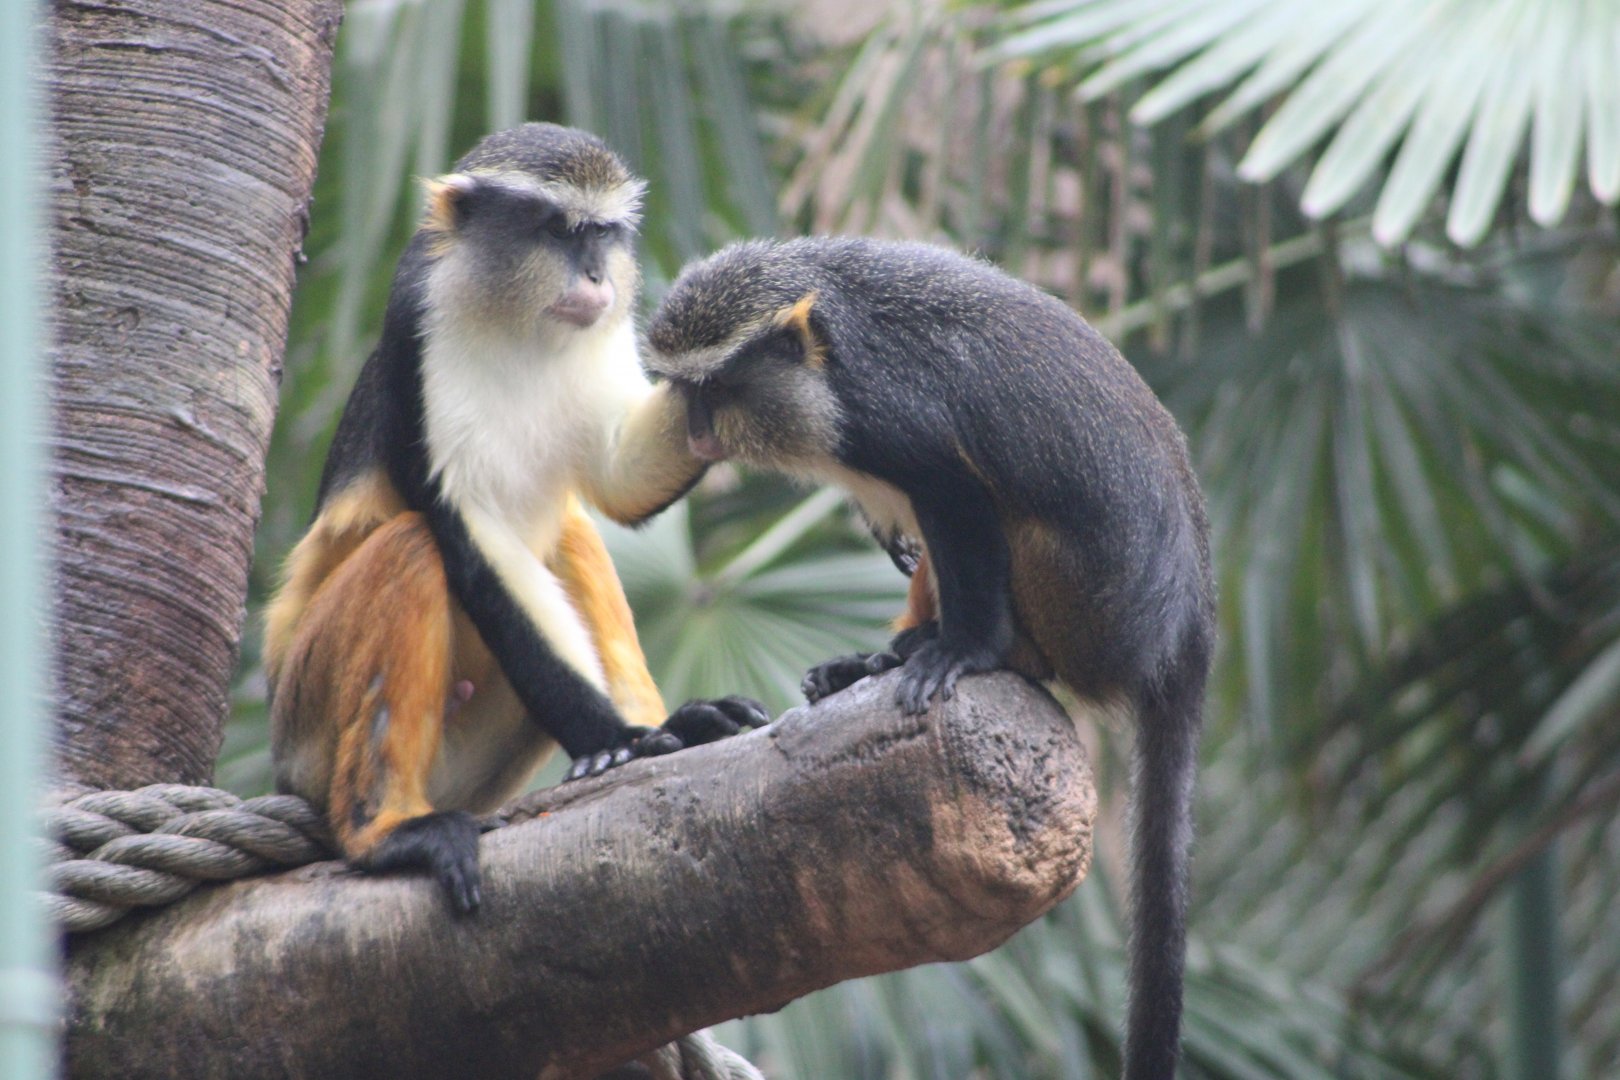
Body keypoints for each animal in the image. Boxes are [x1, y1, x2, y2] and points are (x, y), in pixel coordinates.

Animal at [263, 124, 767, 915]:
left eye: (602, 234)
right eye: (557, 231)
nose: (595, 277)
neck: (516, 322)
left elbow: (618, 478)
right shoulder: (418, 327)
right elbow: (467, 530)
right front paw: (612, 739)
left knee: (574, 535)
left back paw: (670, 724)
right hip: (310, 721)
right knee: (412, 549)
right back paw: (391, 831)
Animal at [641, 236, 1214, 1080]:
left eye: (718, 388)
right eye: (685, 391)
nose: (698, 435)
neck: (822, 345)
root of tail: (1188, 631)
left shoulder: (892, 417)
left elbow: (958, 493)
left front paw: (966, 651)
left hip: (1085, 612)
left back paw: (993, 653)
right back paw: (876, 661)